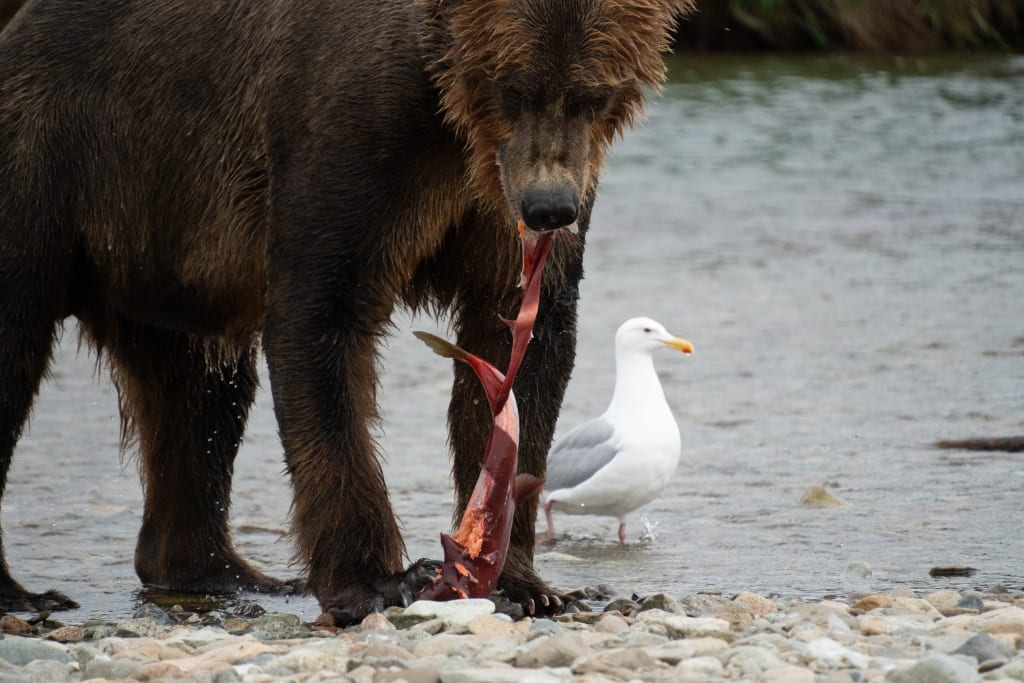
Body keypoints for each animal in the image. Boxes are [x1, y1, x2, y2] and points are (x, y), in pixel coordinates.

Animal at [0, 0, 692, 622]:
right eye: (514, 86)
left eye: (592, 95)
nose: (548, 208)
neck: (454, 117)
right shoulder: (360, 134)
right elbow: (323, 319)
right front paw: (382, 579)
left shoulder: (506, 202)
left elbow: (522, 350)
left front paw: (523, 580)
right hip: (58, 159)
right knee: (19, 344)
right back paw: (29, 594)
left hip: (163, 253)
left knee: (201, 391)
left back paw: (226, 572)